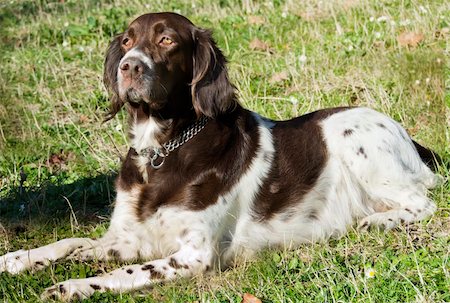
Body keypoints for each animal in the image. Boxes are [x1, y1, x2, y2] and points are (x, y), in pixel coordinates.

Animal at [0, 12, 440, 302]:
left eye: (167, 41)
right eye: (126, 41)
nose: (129, 66)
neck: (162, 151)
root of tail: (408, 136)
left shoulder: (195, 255)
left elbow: (120, 272)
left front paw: (69, 286)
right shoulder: (132, 236)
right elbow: (71, 243)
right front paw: (17, 259)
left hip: (354, 141)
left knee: (424, 202)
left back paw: (379, 221)